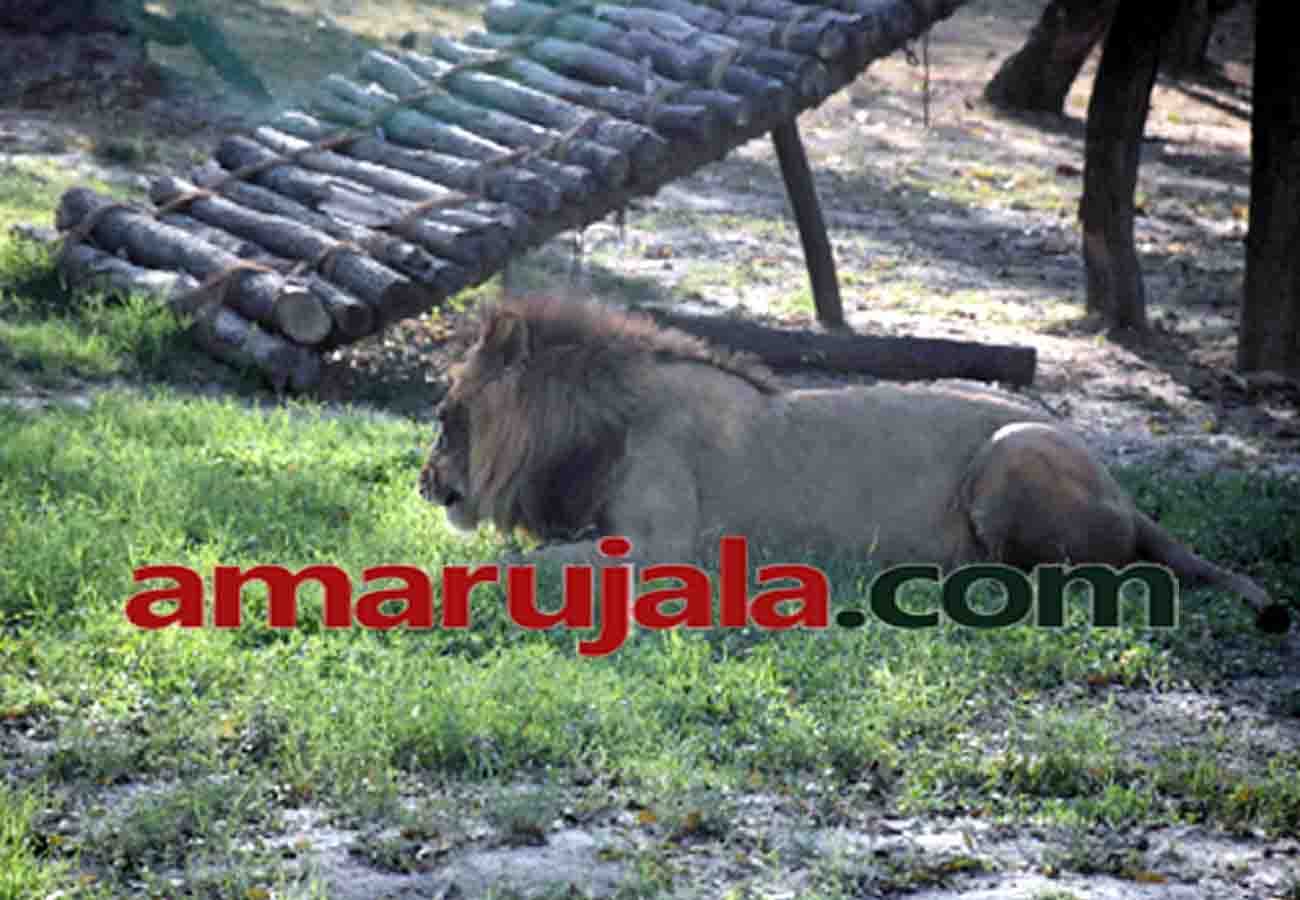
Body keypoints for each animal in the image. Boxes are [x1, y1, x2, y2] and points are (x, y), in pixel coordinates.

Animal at [420, 296, 1287, 633]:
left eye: (442, 415)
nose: (424, 482)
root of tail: (1126, 491)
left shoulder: (668, 549)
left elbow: (530, 564)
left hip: (1011, 452)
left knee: (1080, 575)